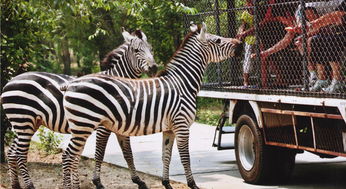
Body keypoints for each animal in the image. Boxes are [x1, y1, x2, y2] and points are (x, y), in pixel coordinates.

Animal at [1, 28, 157, 189]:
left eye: (151, 49)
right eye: (136, 50)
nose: (154, 67)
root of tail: (9, 82)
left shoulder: (121, 125)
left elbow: (128, 153)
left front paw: (138, 181)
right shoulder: (103, 127)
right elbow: (99, 152)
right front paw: (97, 181)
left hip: (27, 124)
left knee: (12, 152)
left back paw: (15, 185)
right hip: (24, 122)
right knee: (20, 153)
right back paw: (29, 185)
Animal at [61, 23, 243, 189]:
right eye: (218, 40)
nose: (240, 43)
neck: (183, 83)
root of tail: (71, 83)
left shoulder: (169, 128)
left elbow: (166, 156)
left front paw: (166, 183)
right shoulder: (182, 125)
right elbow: (185, 157)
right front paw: (193, 185)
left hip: (80, 127)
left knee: (72, 156)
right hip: (84, 124)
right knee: (68, 156)